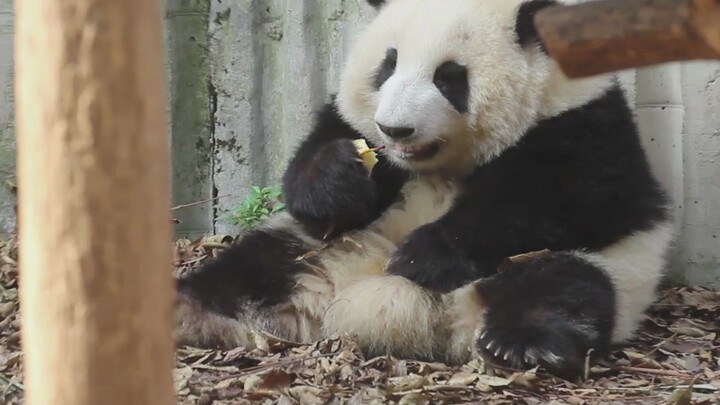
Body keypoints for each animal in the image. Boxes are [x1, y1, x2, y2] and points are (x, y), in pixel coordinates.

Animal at [176, 0, 676, 378]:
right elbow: (314, 167)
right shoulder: (354, 123)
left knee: (565, 288)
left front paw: (424, 255)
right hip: (316, 250)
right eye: (388, 64)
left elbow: (573, 198)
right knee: (250, 270)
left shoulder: (581, 120)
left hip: (599, 268)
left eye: (449, 76)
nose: (395, 129)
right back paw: (191, 311)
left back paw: (522, 344)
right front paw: (340, 177)